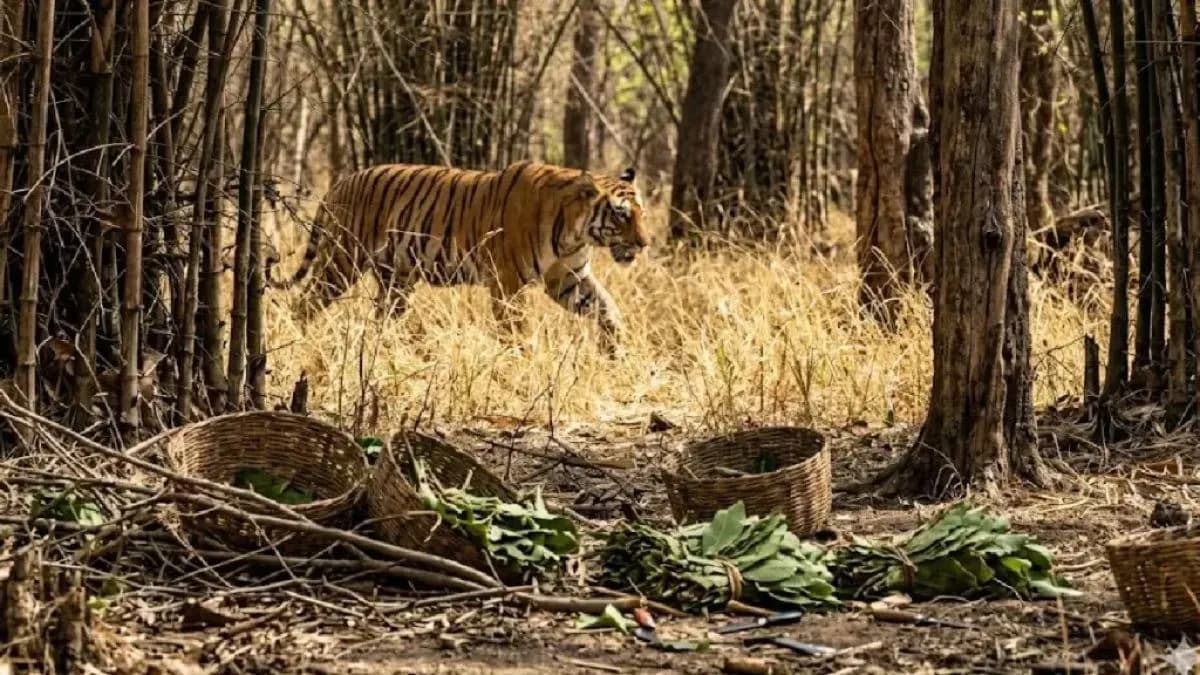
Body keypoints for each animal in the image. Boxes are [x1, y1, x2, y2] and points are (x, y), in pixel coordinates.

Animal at [266, 161, 648, 353]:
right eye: (621, 215)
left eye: (641, 213)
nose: (644, 244)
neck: (574, 231)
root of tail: (339, 183)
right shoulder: (507, 282)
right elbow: (515, 329)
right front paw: (521, 361)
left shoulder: (568, 277)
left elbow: (608, 308)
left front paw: (615, 351)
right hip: (341, 263)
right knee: (304, 303)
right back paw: (296, 341)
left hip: (396, 278)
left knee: (382, 317)